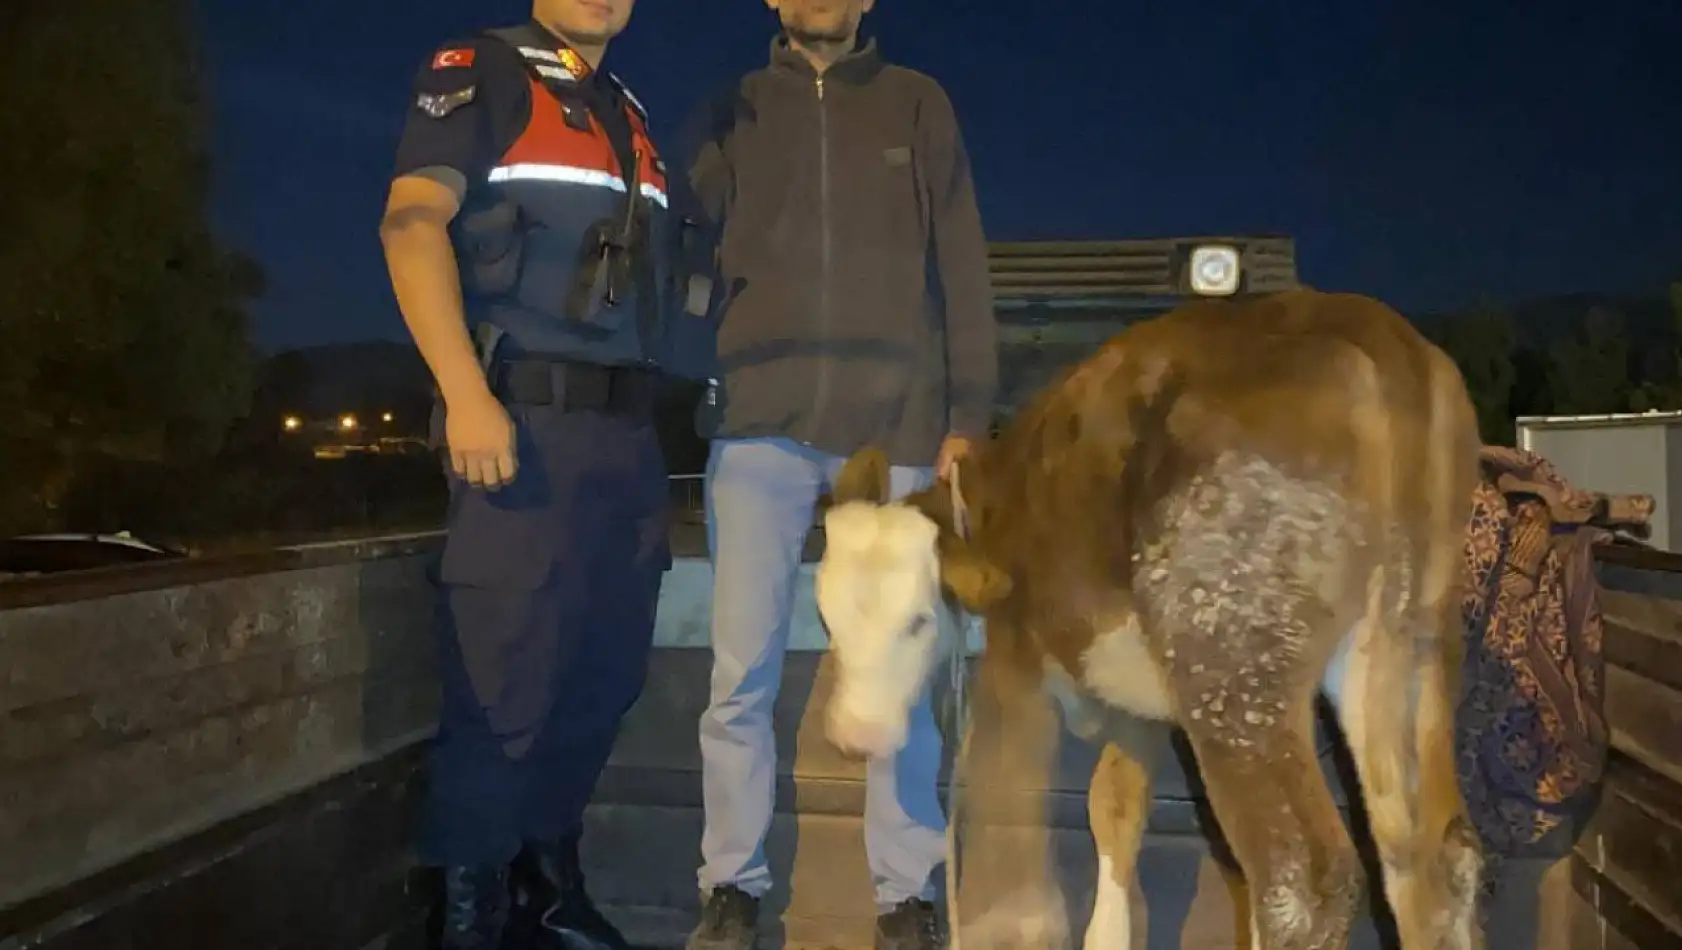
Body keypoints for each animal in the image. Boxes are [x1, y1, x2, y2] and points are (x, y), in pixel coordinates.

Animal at [814, 290, 1486, 948]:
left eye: (918, 621)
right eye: (828, 619)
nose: (855, 735)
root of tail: (1376, 336)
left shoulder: (1017, 664)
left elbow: (1010, 819)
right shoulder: (1135, 698)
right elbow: (1115, 807)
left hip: (1230, 658)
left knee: (1301, 879)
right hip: (1406, 642)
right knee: (1434, 863)